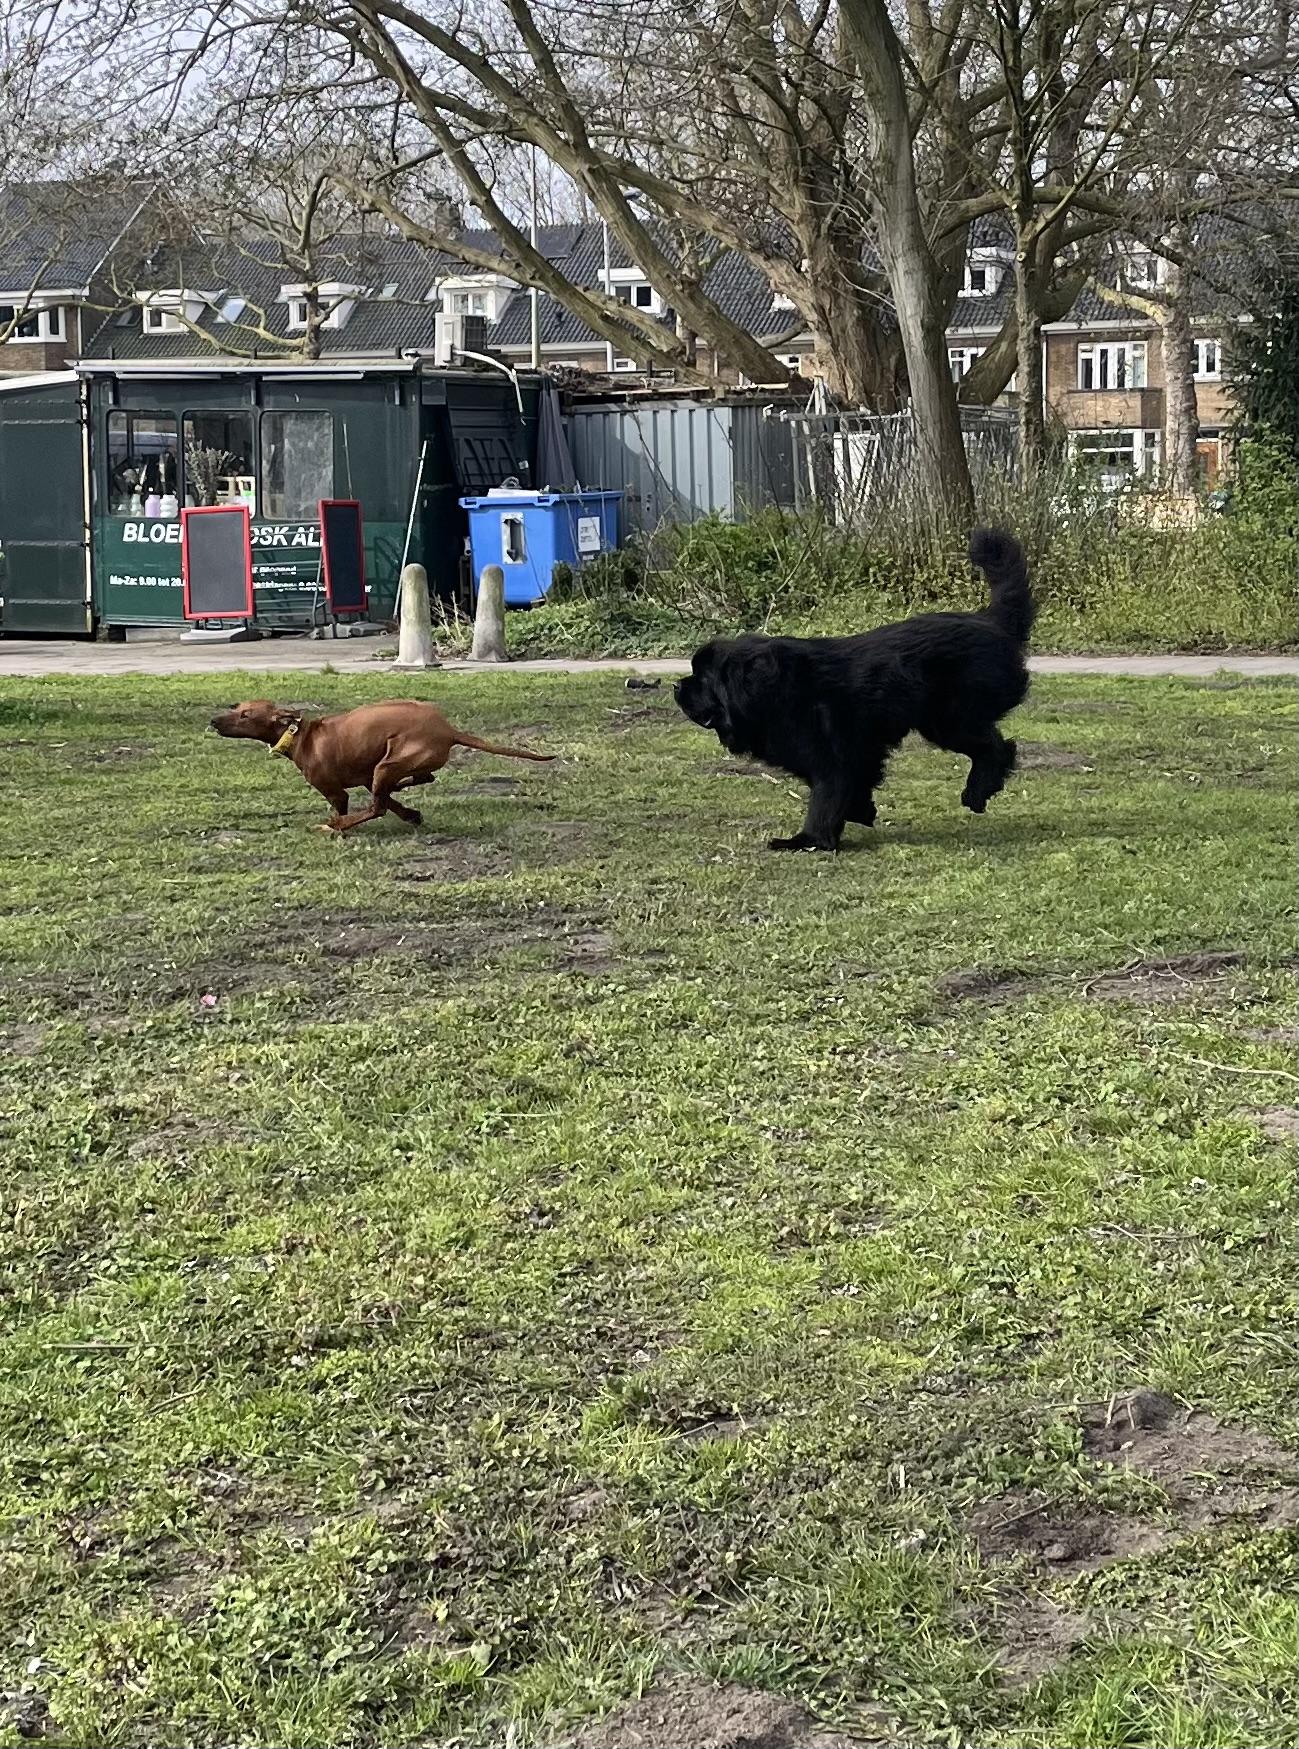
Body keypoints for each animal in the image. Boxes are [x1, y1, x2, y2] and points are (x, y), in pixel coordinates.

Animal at [210, 699, 554, 832]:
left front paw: (337, 825)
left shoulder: (335, 792)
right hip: (388, 766)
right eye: (236, 707)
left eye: (245, 715)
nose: (213, 721)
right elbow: (393, 804)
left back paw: (337, 825)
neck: (298, 735)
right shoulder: (365, 779)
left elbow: (356, 806)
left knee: (376, 807)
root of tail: (448, 730)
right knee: (419, 780)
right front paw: (411, 814)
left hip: (388, 764)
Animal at [674, 527, 1033, 851]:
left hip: (949, 720)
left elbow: (824, 801)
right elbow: (856, 785)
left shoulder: (832, 760)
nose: (676, 685)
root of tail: (990, 620)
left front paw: (806, 841)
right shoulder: (857, 753)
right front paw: (862, 811)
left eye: (702, 679)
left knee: (997, 748)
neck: (773, 694)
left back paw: (977, 792)